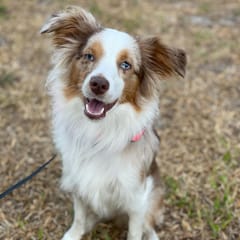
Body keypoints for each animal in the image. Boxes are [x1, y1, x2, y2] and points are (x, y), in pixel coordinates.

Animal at [40, 6, 186, 240]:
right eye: (89, 56)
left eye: (126, 65)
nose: (98, 83)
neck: (99, 132)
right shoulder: (78, 182)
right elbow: (79, 217)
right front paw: (74, 234)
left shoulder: (136, 198)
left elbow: (135, 232)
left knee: (149, 226)